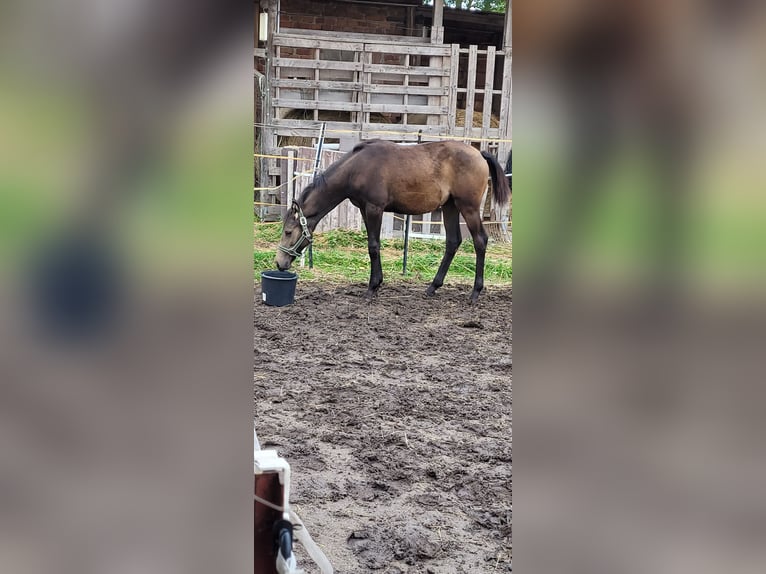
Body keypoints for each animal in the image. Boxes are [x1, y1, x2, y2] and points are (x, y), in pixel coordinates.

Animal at [275, 139, 511, 303]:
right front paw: (377, 284)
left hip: (468, 208)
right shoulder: (364, 209)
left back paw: (475, 293)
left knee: (480, 240)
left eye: (288, 232)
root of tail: (479, 153)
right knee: (453, 242)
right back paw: (433, 287)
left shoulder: (374, 208)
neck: (356, 168)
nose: (279, 263)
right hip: (450, 206)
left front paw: (372, 288)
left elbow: (373, 246)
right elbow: (374, 245)